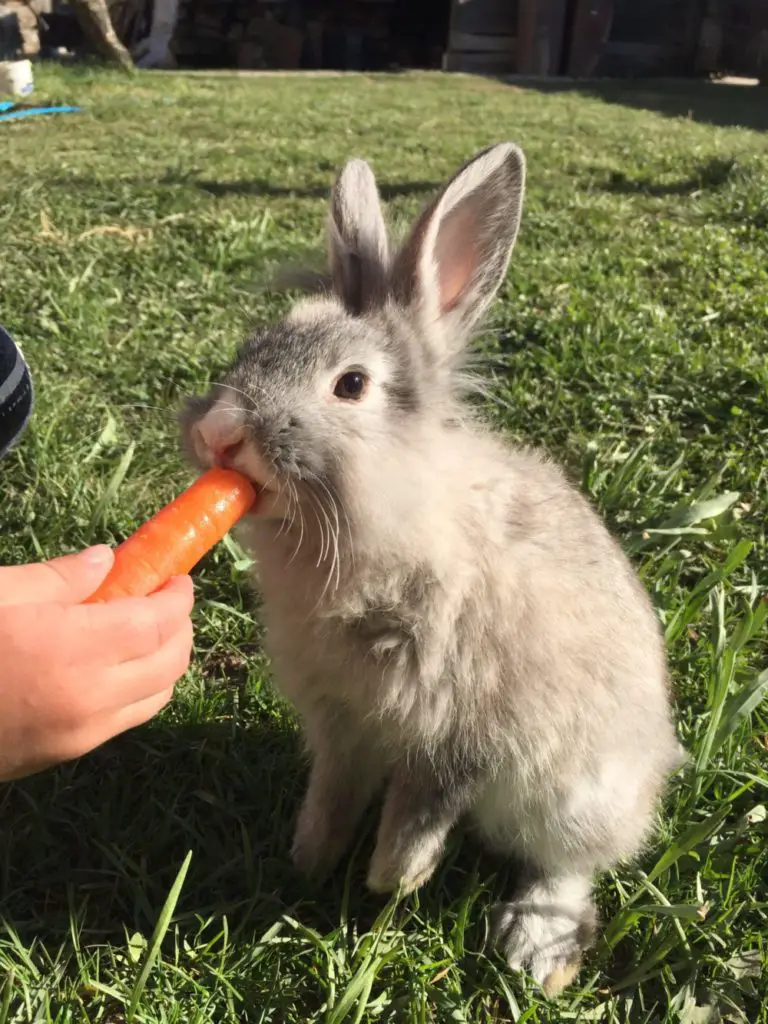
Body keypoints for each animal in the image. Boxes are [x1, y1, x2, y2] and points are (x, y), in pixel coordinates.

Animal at [182, 146, 684, 999]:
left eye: (351, 384)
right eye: (259, 342)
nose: (219, 434)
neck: (393, 517)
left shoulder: (457, 734)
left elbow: (418, 817)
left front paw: (392, 882)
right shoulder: (341, 723)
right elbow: (332, 794)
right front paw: (309, 860)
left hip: (579, 794)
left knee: (570, 869)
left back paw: (535, 949)